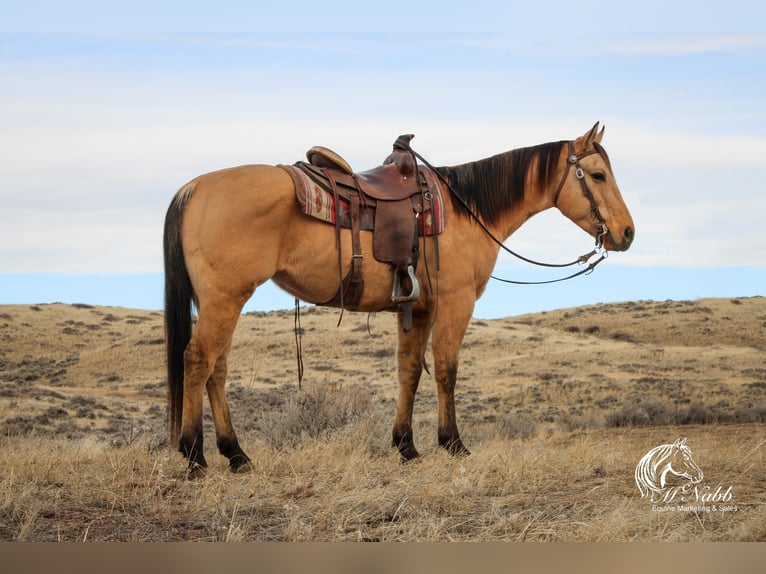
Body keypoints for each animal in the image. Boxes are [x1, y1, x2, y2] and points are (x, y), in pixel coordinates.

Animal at [162, 122, 636, 476]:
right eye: (597, 175)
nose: (627, 233)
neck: (467, 211)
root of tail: (194, 188)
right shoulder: (456, 303)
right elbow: (446, 371)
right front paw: (453, 443)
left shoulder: (418, 309)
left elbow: (409, 372)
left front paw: (406, 446)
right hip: (225, 300)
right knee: (198, 361)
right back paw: (194, 455)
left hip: (220, 302)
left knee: (218, 370)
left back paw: (236, 454)